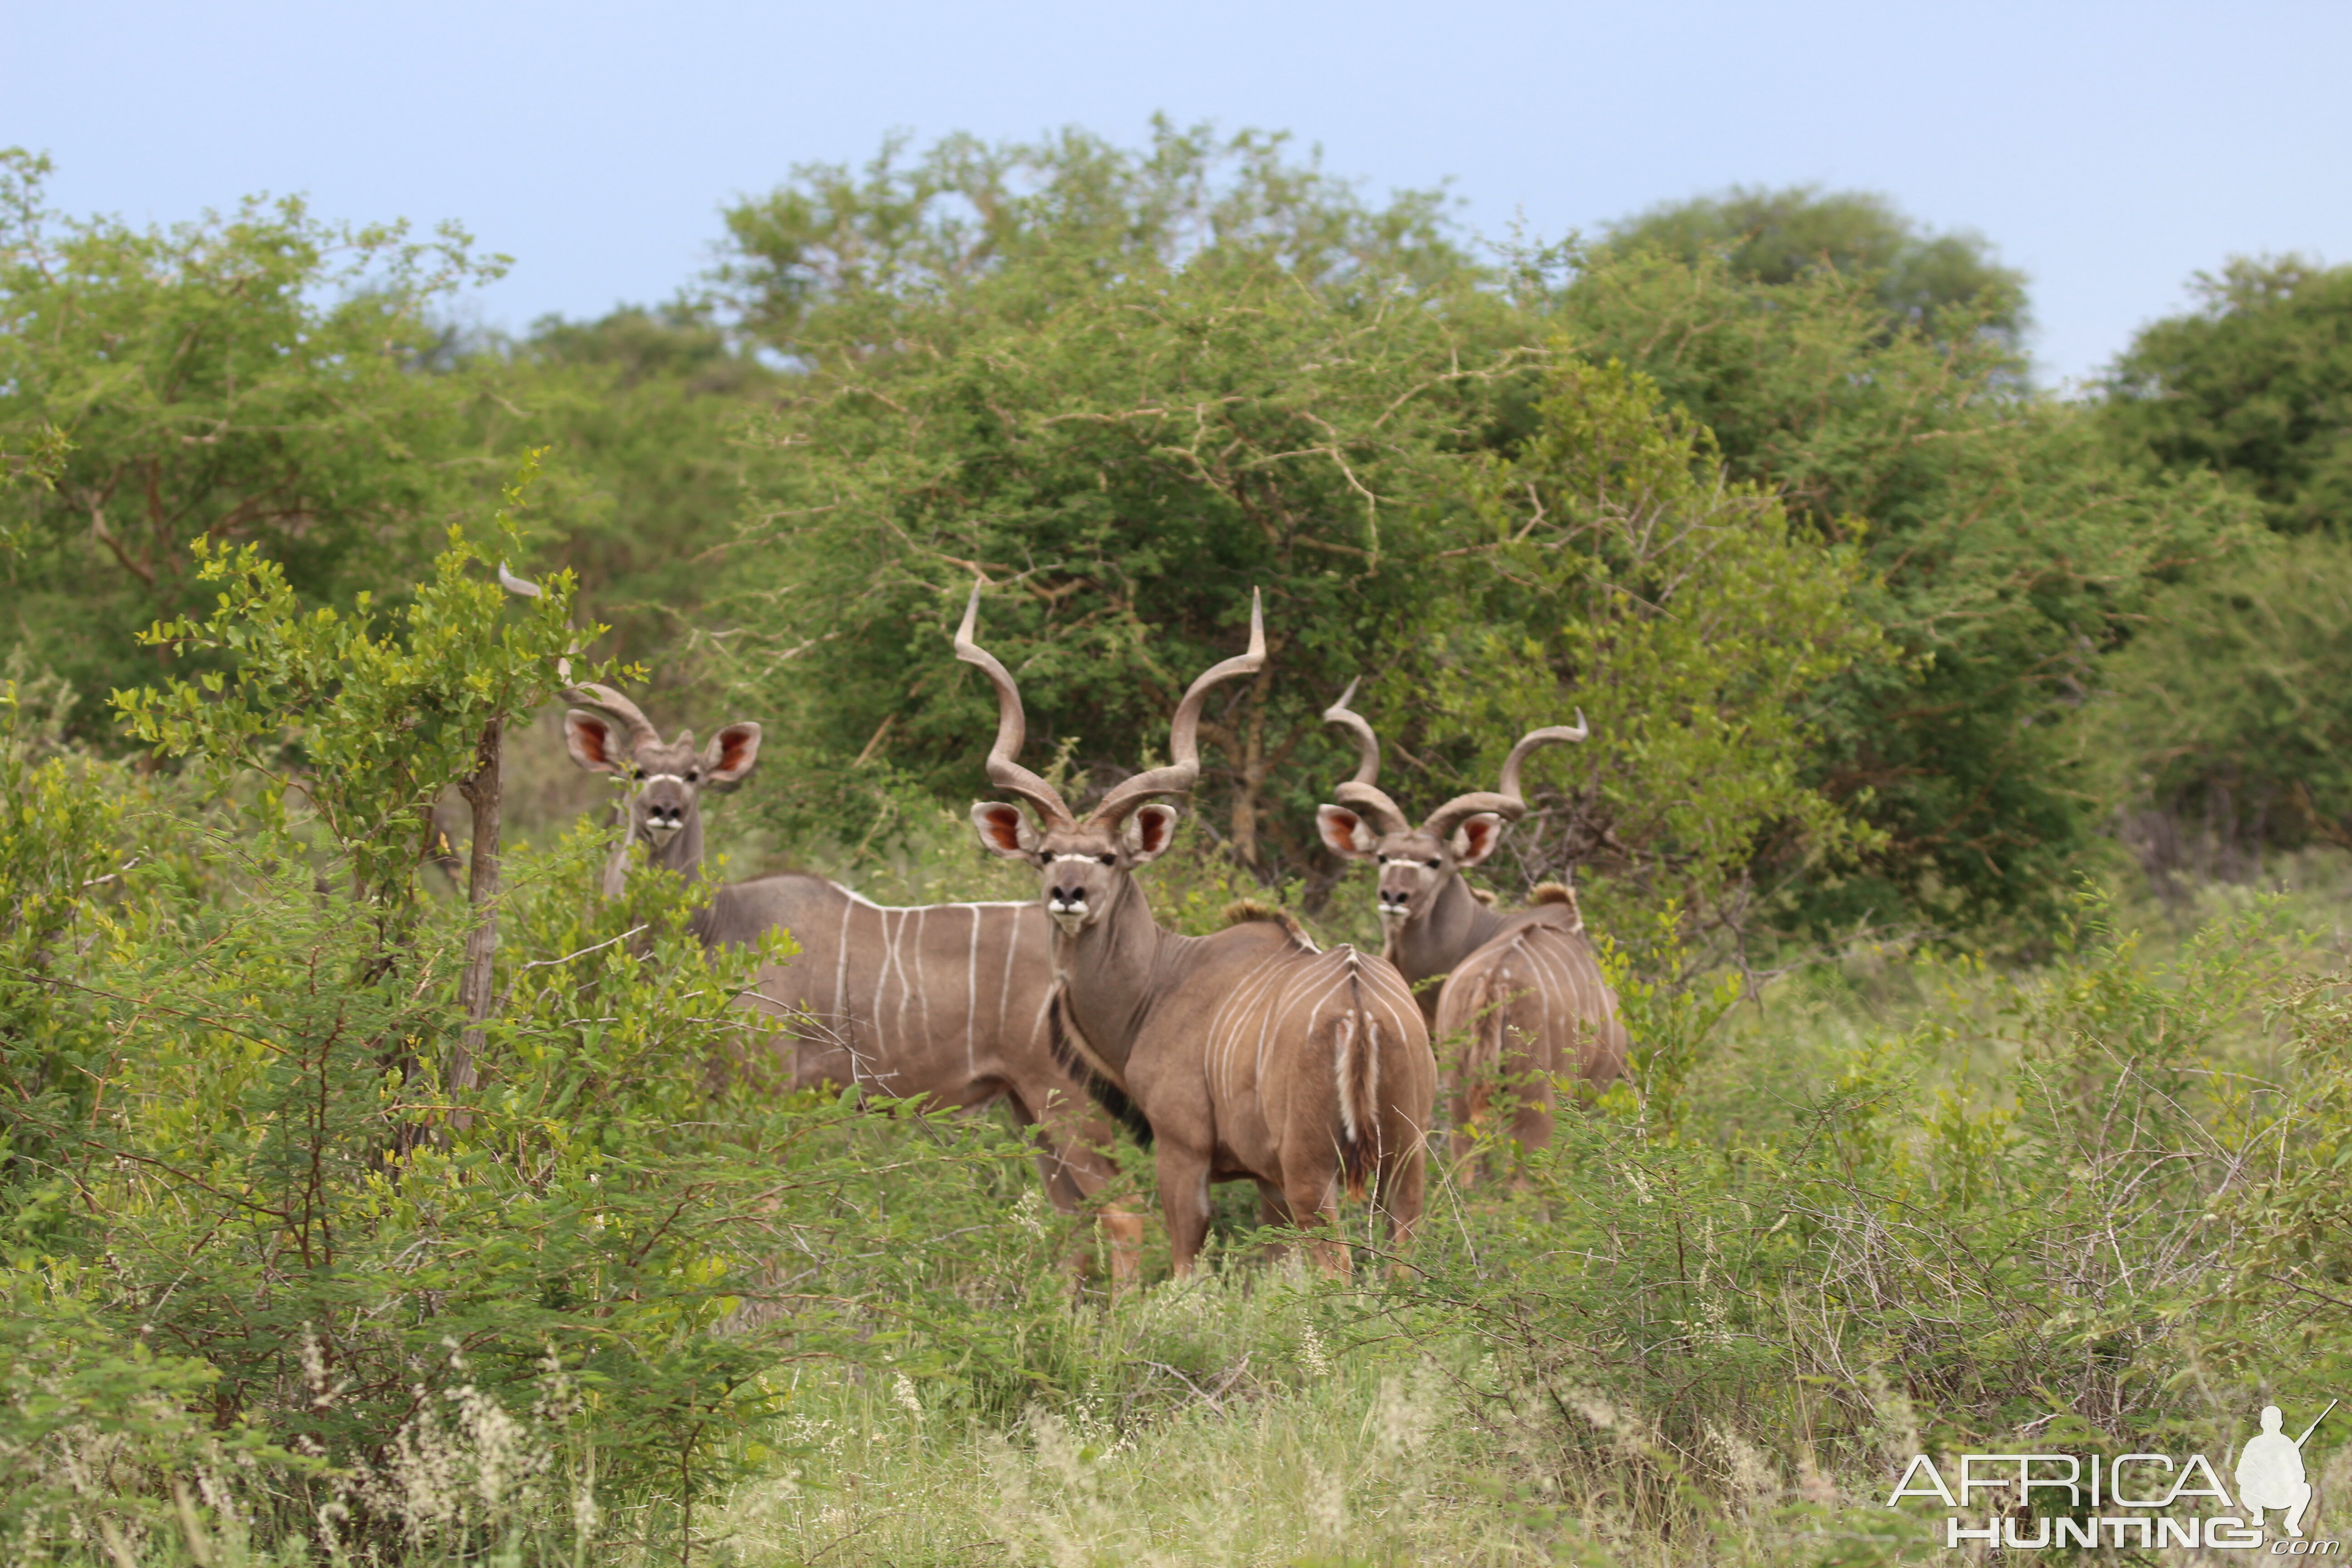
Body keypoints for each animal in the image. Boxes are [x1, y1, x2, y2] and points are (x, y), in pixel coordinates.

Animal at [555, 681, 1133, 1269]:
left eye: (693, 775)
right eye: (636, 771)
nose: (665, 809)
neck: (715, 924)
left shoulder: (765, 1091)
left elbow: (758, 1206)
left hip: (1066, 1097)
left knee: (1123, 1213)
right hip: (1027, 1104)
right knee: (1074, 1218)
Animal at [955, 583, 1430, 1279]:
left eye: (1108, 857)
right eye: (1045, 855)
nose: (1067, 894)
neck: (1162, 982)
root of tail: (1360, 1007)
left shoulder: (1183, 1151)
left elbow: (1184, 1266)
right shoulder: (1265, 1179)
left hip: (1315, 1169)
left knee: (1337, 1266)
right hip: (1405, 1161)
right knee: (1403, 1255)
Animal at [1317, 686, 1627, 1175]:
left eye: (1434, 862)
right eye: (1383, 856)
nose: (1393, 896)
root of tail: (1495, 984)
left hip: (1464, 1089)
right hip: (1538, 1098)